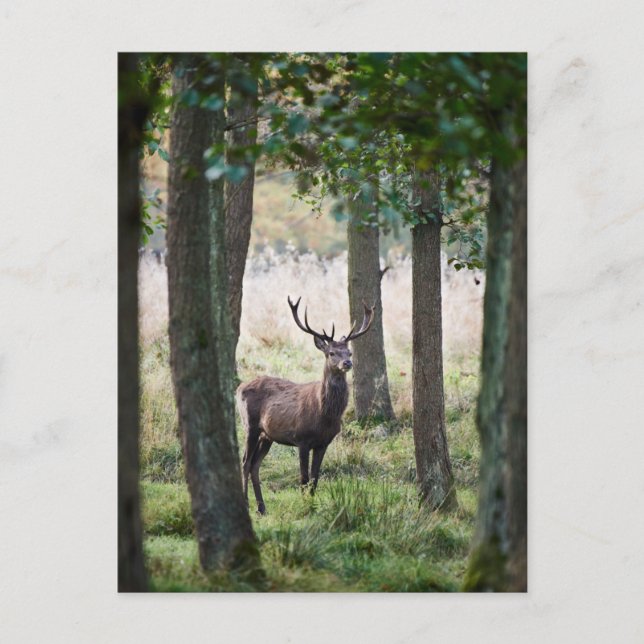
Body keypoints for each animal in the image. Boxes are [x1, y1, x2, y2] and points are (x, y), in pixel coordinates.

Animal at [236, 295, 375, 515]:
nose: (347, 363)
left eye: (349, 352)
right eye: (331, 353)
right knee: (245, 462)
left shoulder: (323, 443)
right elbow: (303, 478)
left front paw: (313, 505)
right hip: (250, 425)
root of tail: (239, 388)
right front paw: (305, 507)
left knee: (255, 465)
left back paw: (262, 508)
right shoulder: (301, 438)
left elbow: (315, 479)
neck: (325, 415)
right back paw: (248, 504)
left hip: (267, 435)